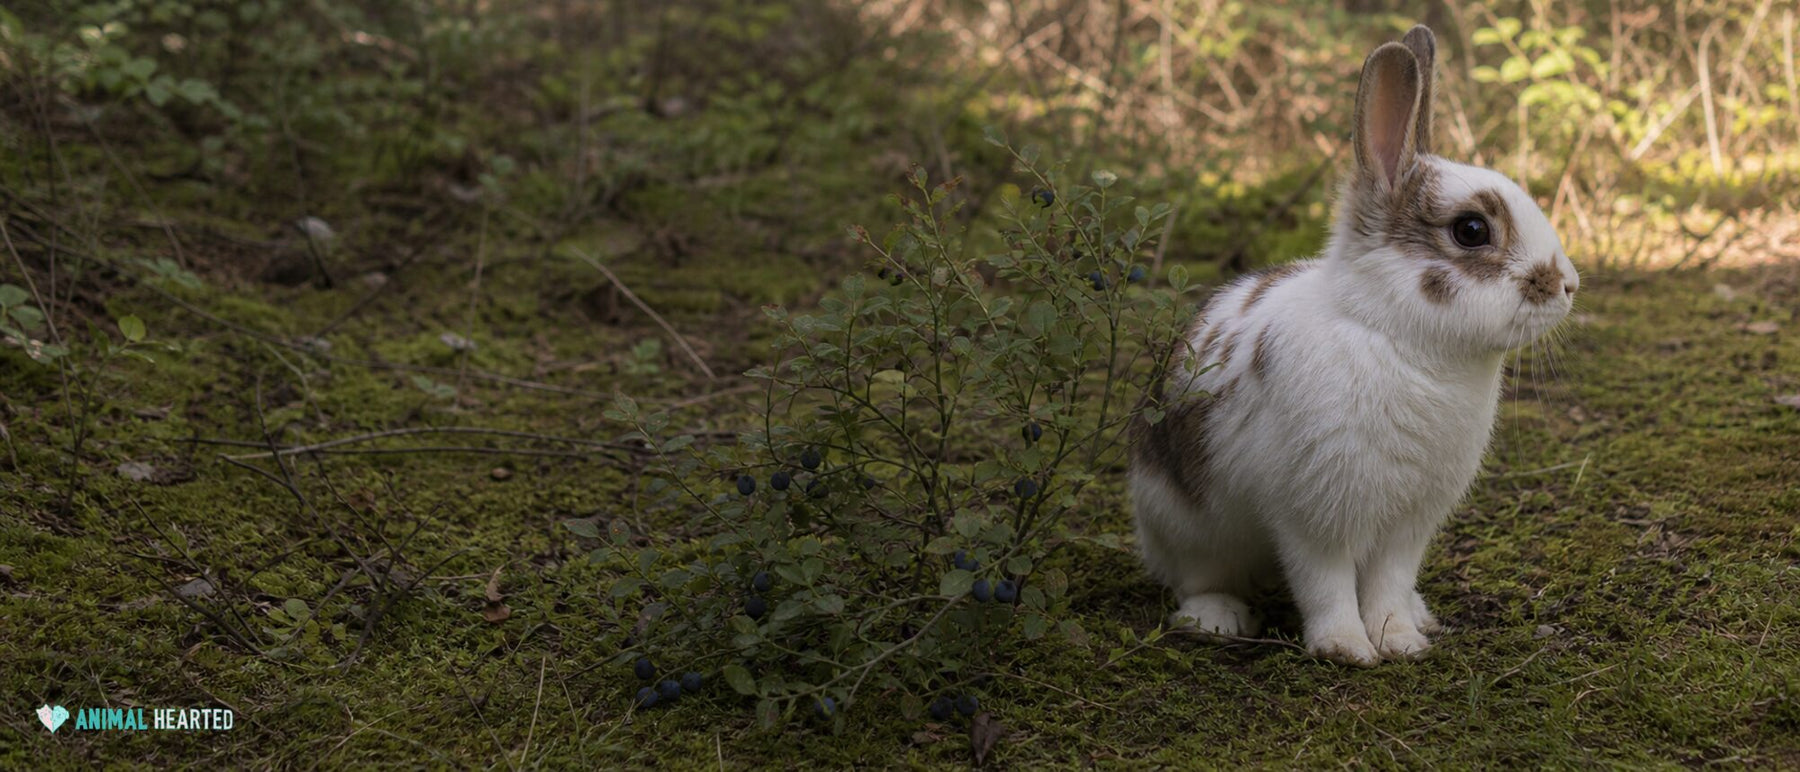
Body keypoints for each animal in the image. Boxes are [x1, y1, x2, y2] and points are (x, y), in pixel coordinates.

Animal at [1130, 25, 1578, 666]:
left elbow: (1388, 582)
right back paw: (1218, 618)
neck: (1398, 341)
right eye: (1471, 230)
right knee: (1199, 578)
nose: (1568, 284)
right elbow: (1327, 584)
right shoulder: (1314, 516)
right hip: (1183, 525)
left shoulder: (1409, 526)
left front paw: (1400, 640)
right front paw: (1346, 648)